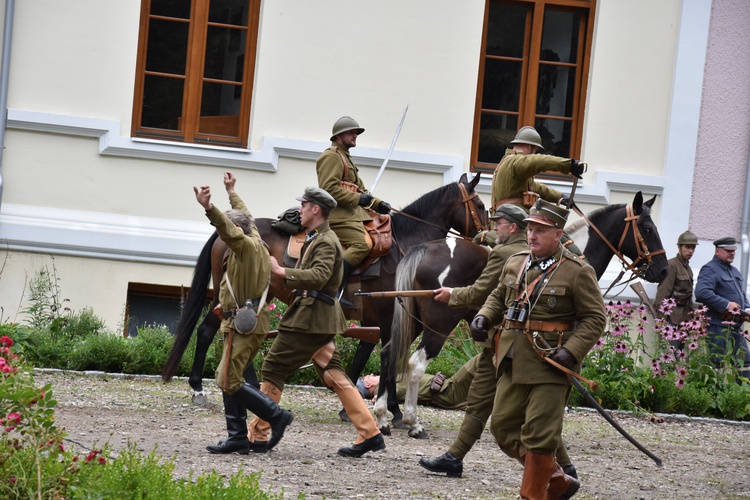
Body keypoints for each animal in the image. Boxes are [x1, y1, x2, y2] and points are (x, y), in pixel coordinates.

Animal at [162, 172, 490, 422]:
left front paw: (371, 407)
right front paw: (388, 410)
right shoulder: (387, 317)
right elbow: (385, 358)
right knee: (211, 331)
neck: (406, 246)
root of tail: (228, 231)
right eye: (480, 204)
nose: (486, 236)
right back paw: (201, 389)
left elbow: (373, 356)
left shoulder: (384, 320)